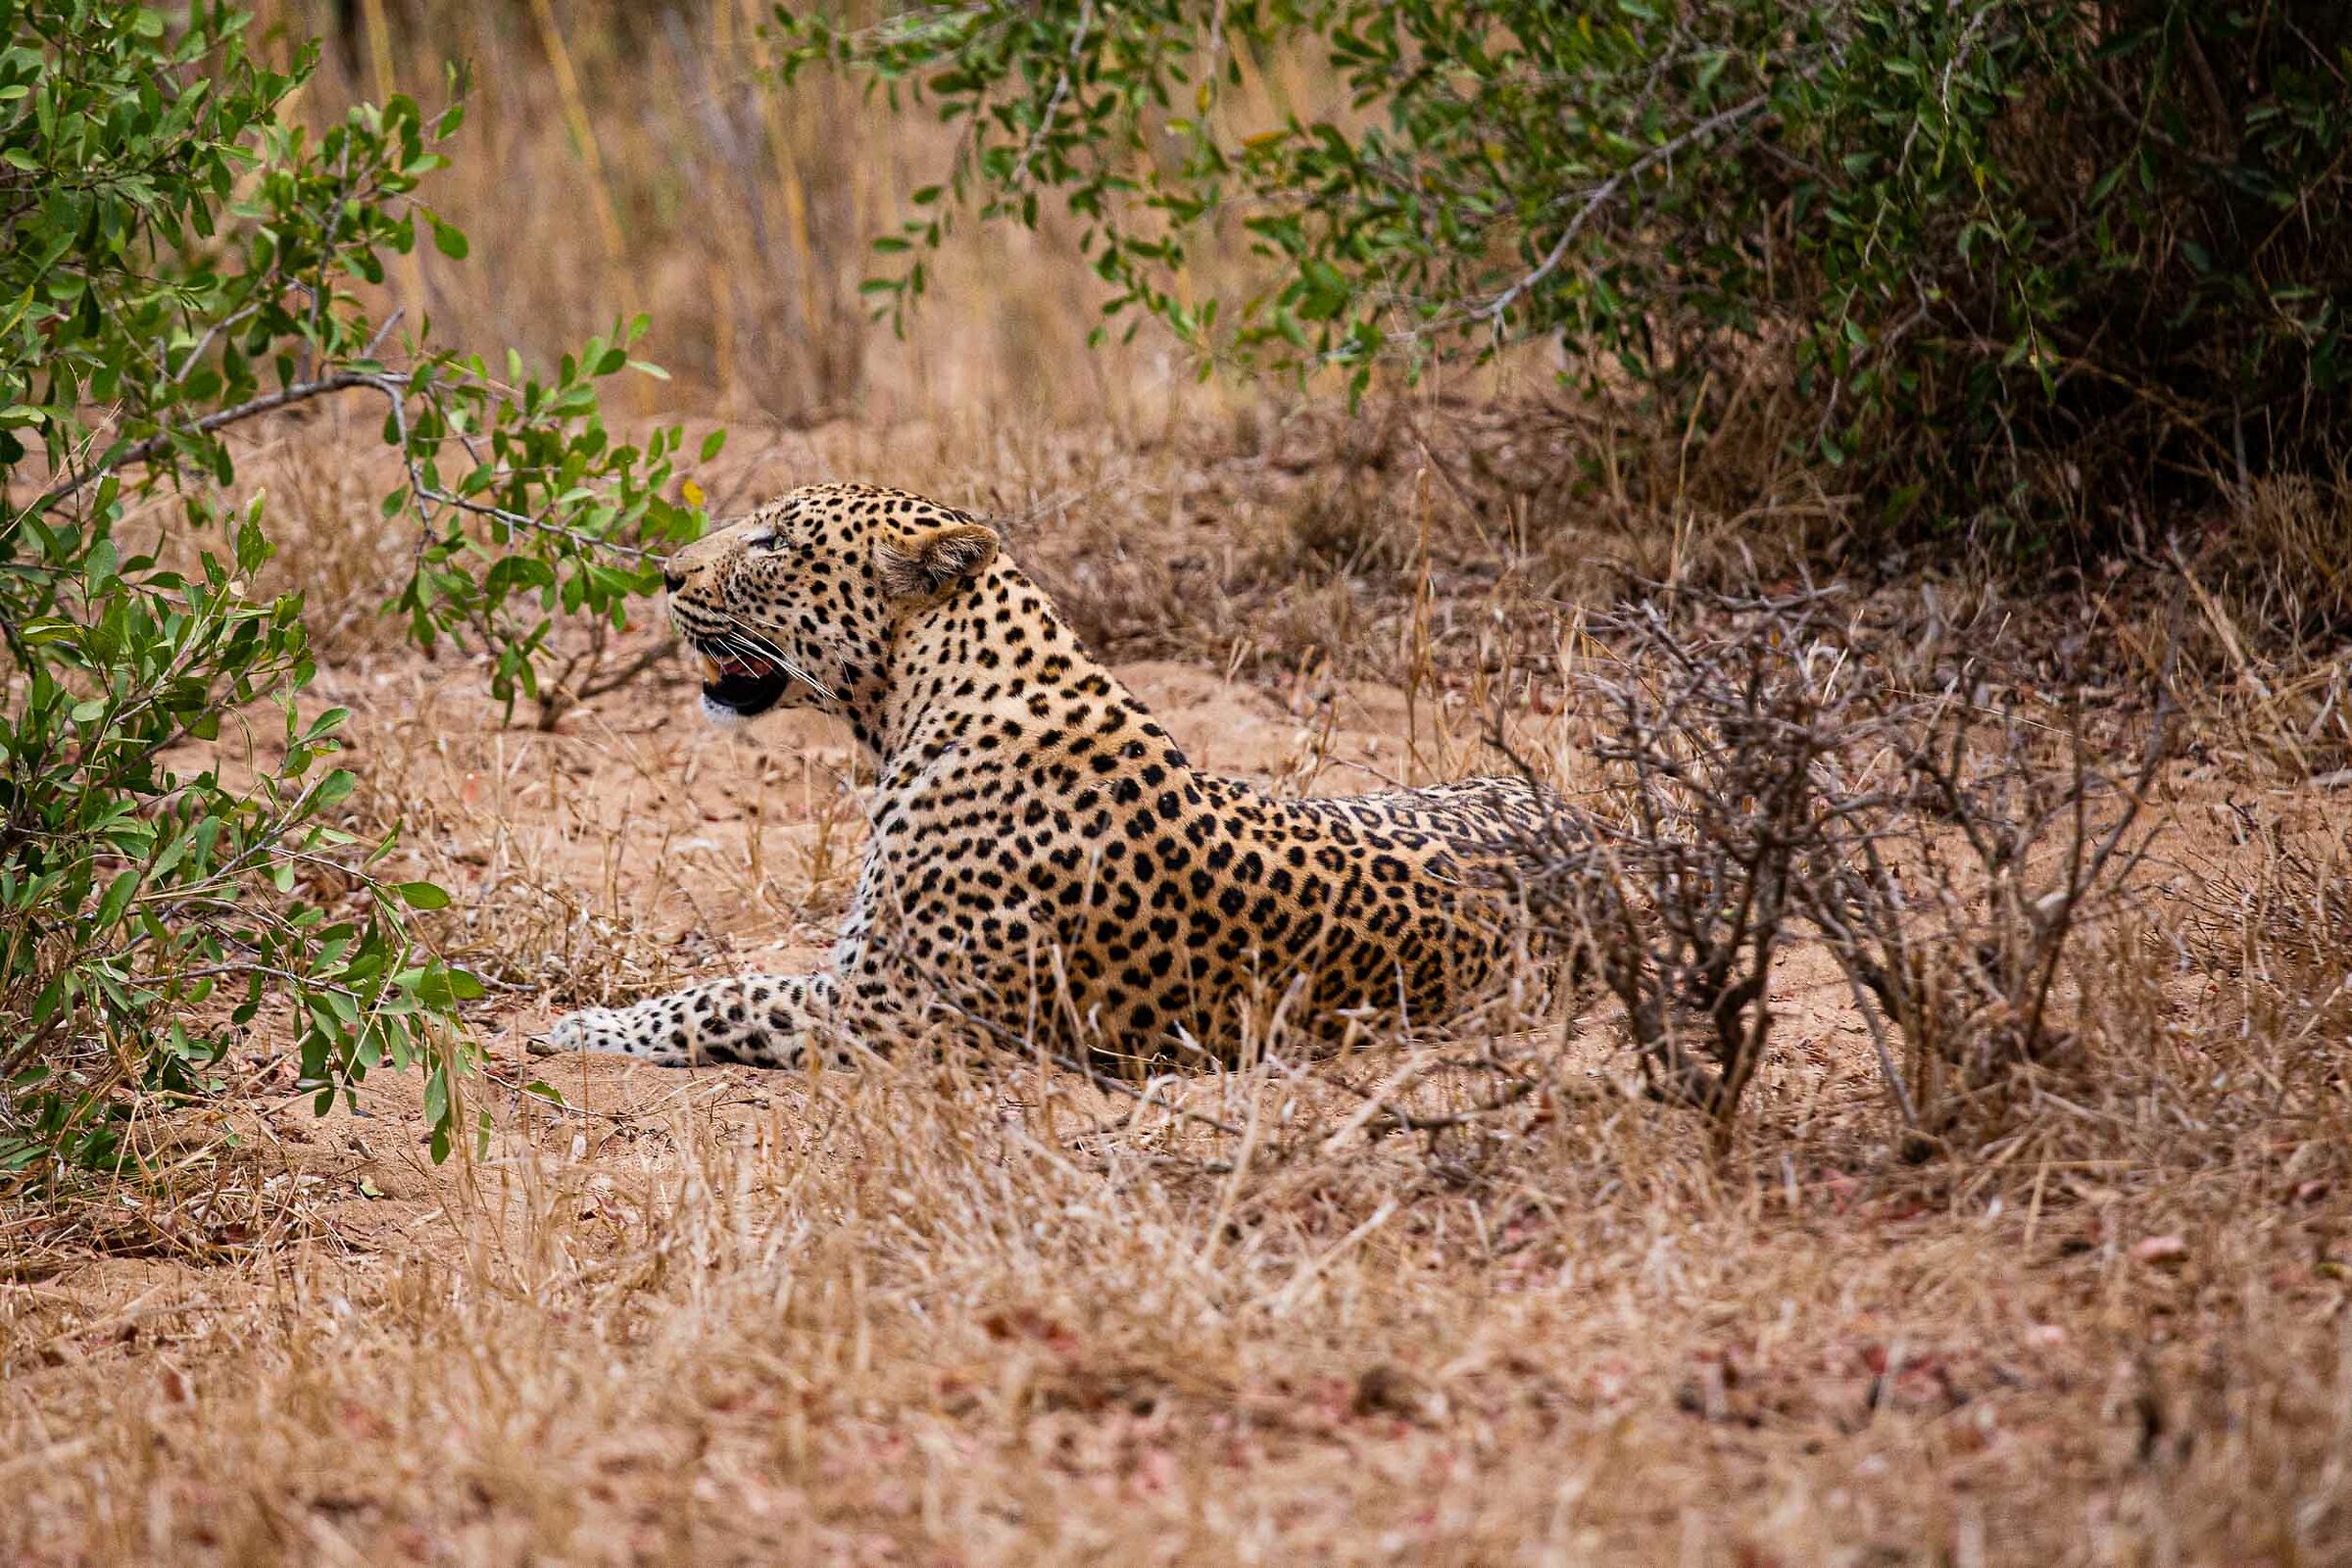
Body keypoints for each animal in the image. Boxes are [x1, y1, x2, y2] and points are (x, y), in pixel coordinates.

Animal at [540, 483, 1561, 1076]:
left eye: (773, 544)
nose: (665, 573)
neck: (916, 709)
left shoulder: (893, 1012)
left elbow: (724, 994)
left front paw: (582, 1026)